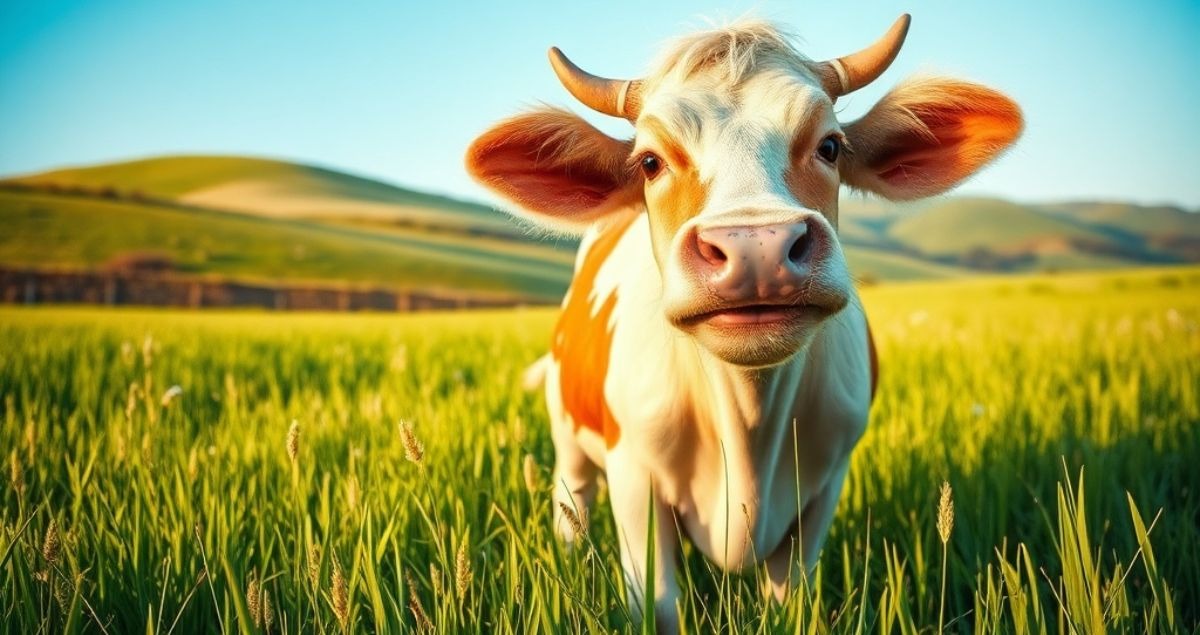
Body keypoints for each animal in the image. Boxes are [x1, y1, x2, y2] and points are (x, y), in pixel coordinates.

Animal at [466, 14, 1021, 630]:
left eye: (830, 145)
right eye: (650, 162)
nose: (756, 247)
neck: (747, 421)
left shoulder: (826, 484)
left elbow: (788, 597)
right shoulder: (635, 479)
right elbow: (660, 604)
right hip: (568, 436)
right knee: (573, 505)